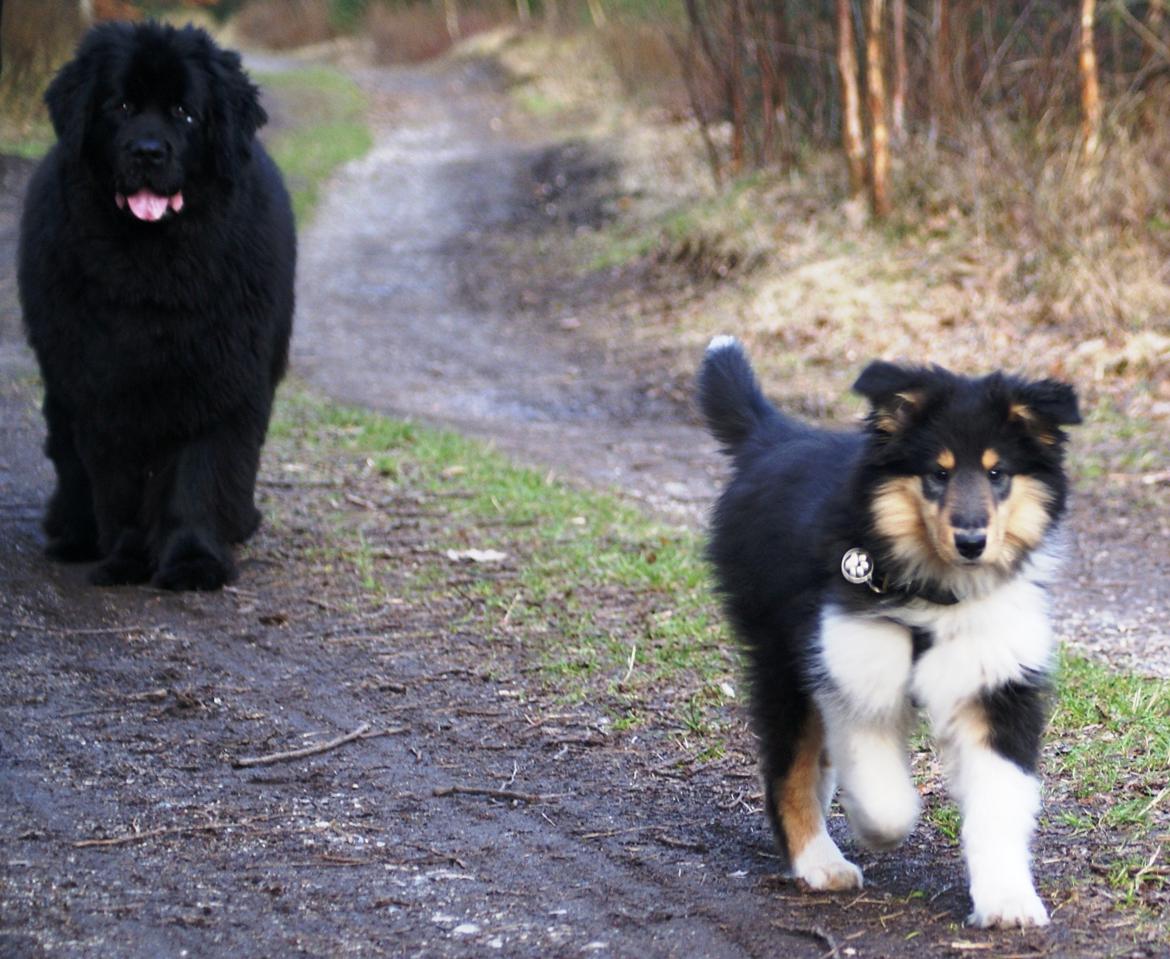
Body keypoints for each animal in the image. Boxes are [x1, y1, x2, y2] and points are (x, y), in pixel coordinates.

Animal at [18, 20, 294, 591]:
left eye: (184, 113)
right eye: (120, 106)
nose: (148, 151)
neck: (153, 270)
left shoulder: (217, 378)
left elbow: (198, 477)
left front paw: (192, 562)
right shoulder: (102, 386)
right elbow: (118, 486)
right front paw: (126, 560)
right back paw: (74, 536)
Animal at [697, 336, 1081, 930]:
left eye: (998, 474)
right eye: (938, 474)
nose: (972, 541)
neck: (939, 597)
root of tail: (773, 438)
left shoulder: (998, 686)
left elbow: (999, 801)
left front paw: (1008, 901)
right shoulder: (853, 665)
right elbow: (885, 796)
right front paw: (875, 826)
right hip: (780, 653)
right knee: (790, 767)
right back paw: (819, 861)